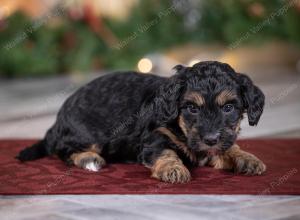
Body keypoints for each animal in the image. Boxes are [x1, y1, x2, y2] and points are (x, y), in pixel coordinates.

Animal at [17, 61, 266, 183]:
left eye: (229, 108)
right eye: (192, 108)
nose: (211, 139)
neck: (181, 127)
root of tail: (58, 120)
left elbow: (229, 146)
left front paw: (248, 158)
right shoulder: (154, 136)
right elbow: (165, 151)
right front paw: (173, 169)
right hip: (89, 133)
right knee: (64, 150)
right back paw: (89, 159)